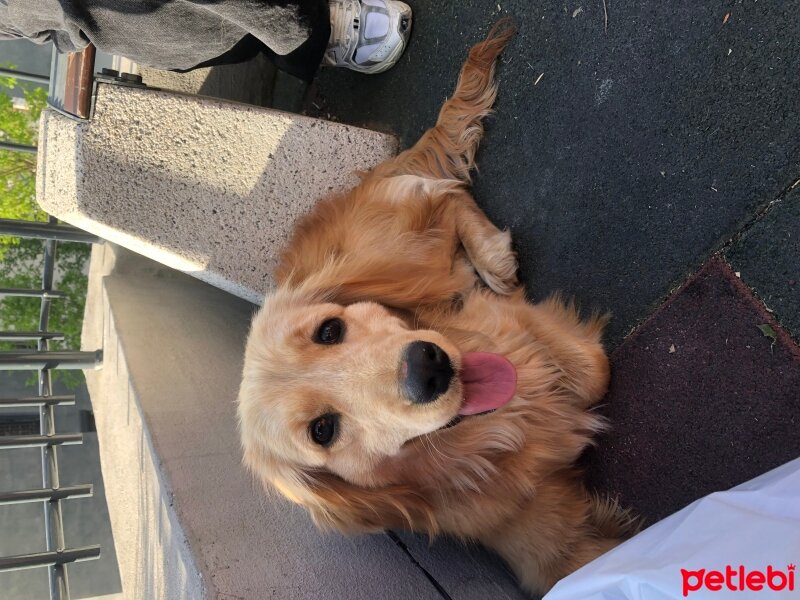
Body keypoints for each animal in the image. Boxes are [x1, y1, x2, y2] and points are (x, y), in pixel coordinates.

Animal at [234, 19, 636, 596]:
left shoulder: (514, 326)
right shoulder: (542, 548)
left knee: (445, 192)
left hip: (408, 246)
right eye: (323, 431)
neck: (508, 417)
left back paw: (493, 257)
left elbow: (592, 371)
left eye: (329, 331)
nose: (429, 368)